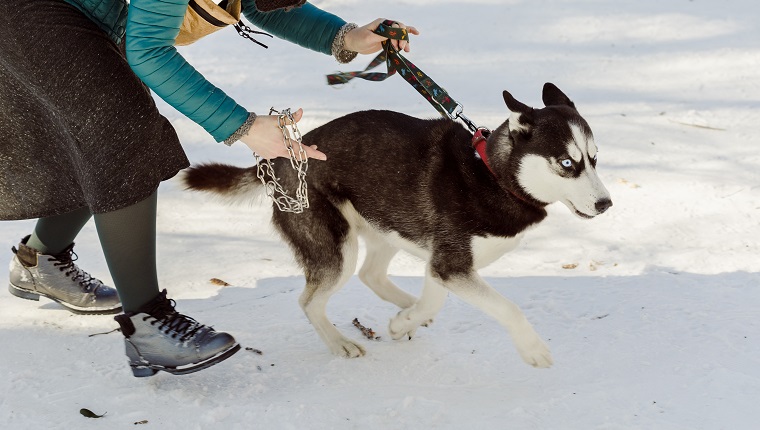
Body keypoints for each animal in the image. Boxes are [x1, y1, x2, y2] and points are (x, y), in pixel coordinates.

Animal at [184, 83, 612, 366]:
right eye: (567, 163)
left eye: (594, 158)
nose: (606, 204)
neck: (494, 175)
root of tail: (281, 158)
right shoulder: (451, 264)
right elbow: (506, 308)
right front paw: (533, 348)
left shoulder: (443, 264)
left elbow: (435, 296)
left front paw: (406, 319)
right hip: (336, 247)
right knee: (310, 300)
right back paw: (340, 343)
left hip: (385, 224)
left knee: (370, 275)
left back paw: (405, 309)